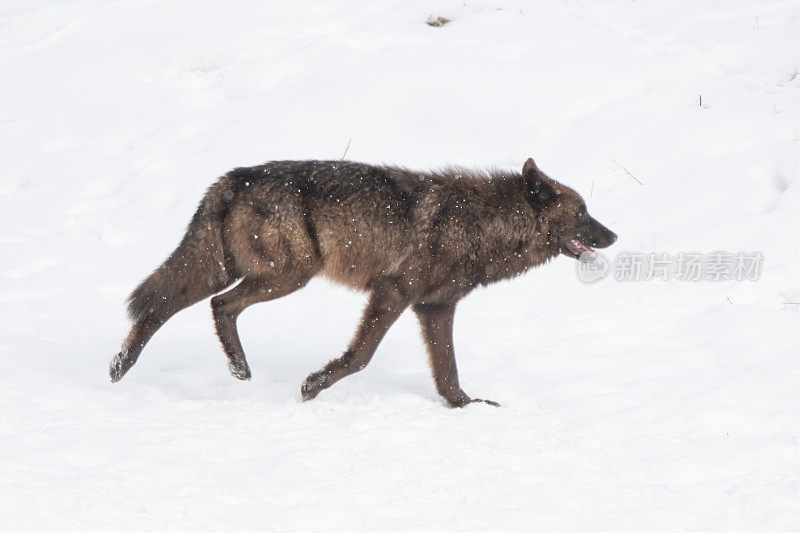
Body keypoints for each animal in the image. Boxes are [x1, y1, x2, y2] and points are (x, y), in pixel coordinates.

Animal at [109, 156, 616, 406]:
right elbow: (361, 356)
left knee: (184, 306)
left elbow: (448, 371)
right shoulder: (394, 293)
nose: (613, 235)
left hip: (236, 271)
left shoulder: (435, 308)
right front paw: (313, 387)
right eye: (583, 214)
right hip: (286, 276)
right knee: (203, 305)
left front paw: (465, 407)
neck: (480, 225)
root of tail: (233, 177)